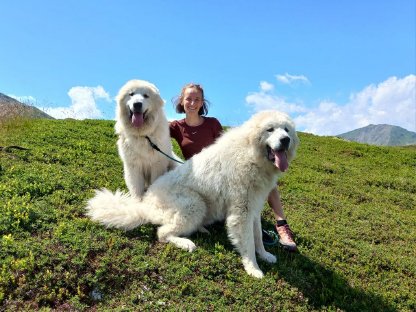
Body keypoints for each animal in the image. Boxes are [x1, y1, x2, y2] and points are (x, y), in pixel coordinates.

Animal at [87, 110, 300, 278]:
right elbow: (247, 242)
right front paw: (253, 268)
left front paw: (264, 255)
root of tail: (145, 205)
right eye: (270, 130)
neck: (251, 154)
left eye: (286, 130)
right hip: (195, 204)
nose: (285, 140)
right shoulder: (242, 212)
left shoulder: (254, 208)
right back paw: (186, 243)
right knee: (162, 233)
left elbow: (257, 237)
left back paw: (202, 229)